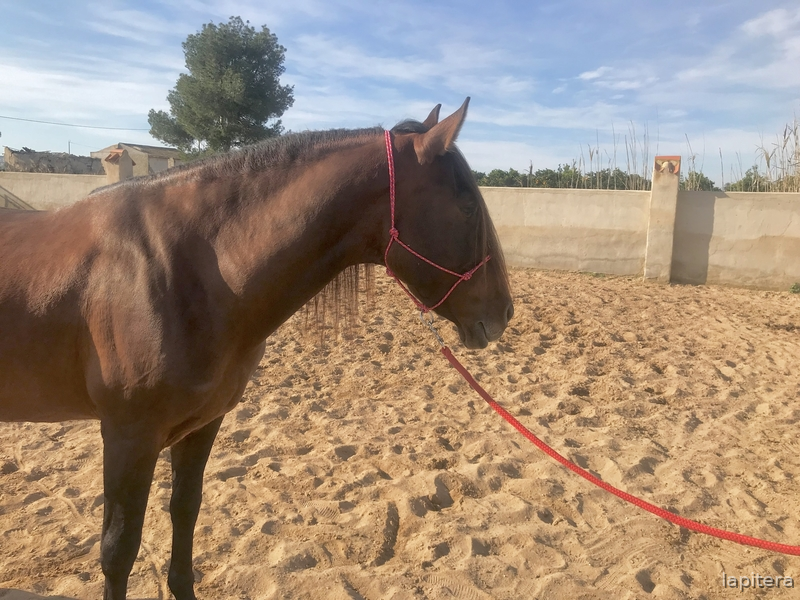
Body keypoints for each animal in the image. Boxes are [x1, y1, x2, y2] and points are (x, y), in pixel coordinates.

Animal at [0, 98, 513, 599]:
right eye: (468, 207)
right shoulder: (129, 437)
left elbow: (185, 512)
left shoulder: (200, 426)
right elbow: (118, 550)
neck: (180, 266)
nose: (504, 313)